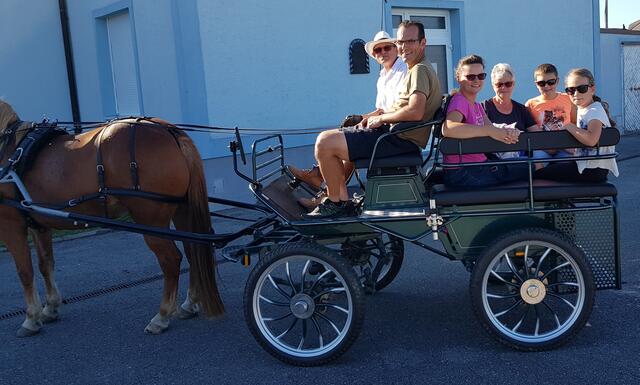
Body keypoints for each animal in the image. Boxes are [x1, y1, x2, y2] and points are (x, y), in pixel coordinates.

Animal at [0, 100, 225, 336]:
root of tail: (169, 131)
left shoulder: (10, 224)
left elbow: (25, 271)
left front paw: (31, 319)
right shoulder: (39, 224)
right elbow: (45, 264)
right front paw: (50, 308)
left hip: (151, 218)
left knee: (171, 259)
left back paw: (162, 316)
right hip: (182, 210)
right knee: (194, 249)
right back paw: (189, 303)